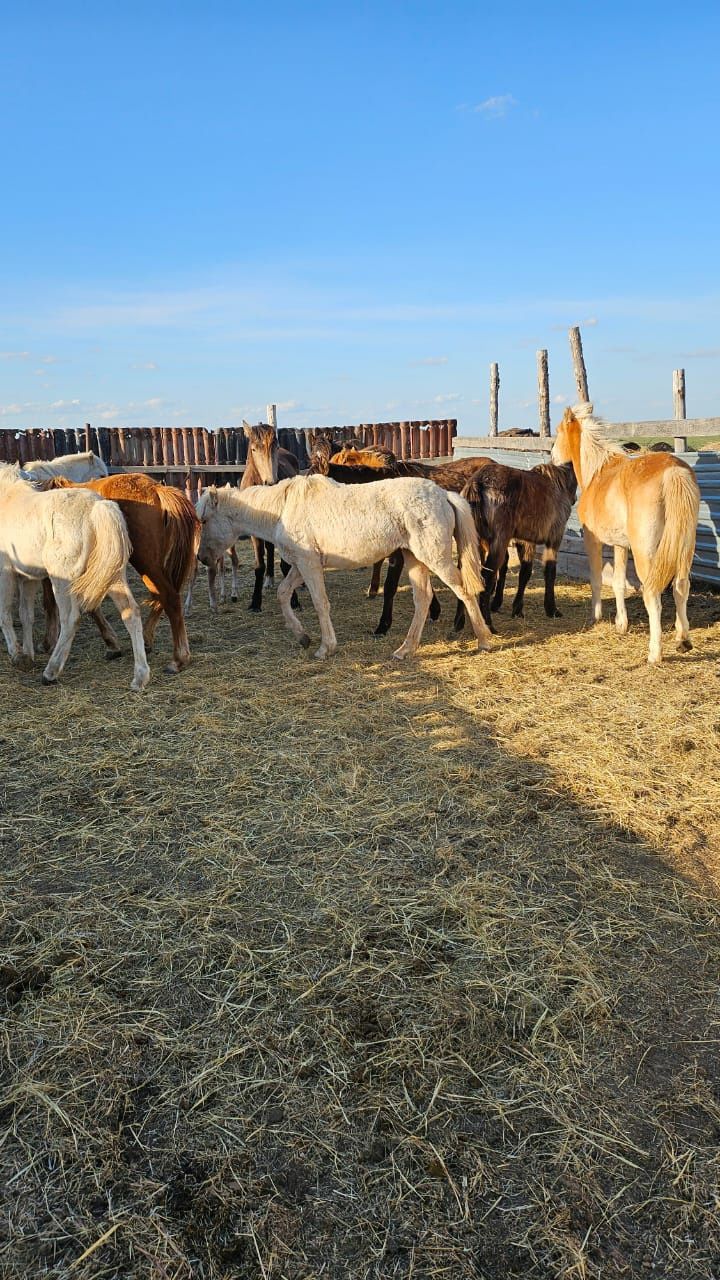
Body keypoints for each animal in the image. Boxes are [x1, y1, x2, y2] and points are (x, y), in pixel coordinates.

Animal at [0, 463, 148, 691]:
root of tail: (96, 508)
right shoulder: (28, 578)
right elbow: (26, 615)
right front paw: (27, 655)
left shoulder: (6, 571)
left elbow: (6, 612)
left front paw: (17, 654)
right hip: (113, 577)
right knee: (131, 612)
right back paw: (140, 676)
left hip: (61, 579)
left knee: (70, 618)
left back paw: (51, 672)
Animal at [45, 471, 197, 670]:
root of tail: (156, 488)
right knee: (159, 596)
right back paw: (147, 640)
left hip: (145, 562)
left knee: (169, 597)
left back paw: (179, 658)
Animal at [194, 476, 486, 665]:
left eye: (204, 520)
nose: (201, 558)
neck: (282, 510)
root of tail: (444, 494)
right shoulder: (301, 565)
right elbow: (282, 593)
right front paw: (302, 637)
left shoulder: (309, 565)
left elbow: (320, 603)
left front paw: (326, 648)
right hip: (414, 558)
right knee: (423, 599)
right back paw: (405, 650)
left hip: (434, 558)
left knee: (464, 591)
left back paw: (483, 640)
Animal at [548, 404, 696, 665]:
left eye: (559, 431)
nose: (552, 456)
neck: (597, 472)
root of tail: (673, 472)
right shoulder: (620, 545)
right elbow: (618, 583)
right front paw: (621, 624)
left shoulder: (593, 541)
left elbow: (597, 579)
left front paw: (596, 616)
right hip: (683, 548)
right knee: (680, 587)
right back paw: (683, 640)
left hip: (646, 553)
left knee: (653, 595)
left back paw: (654, 654)